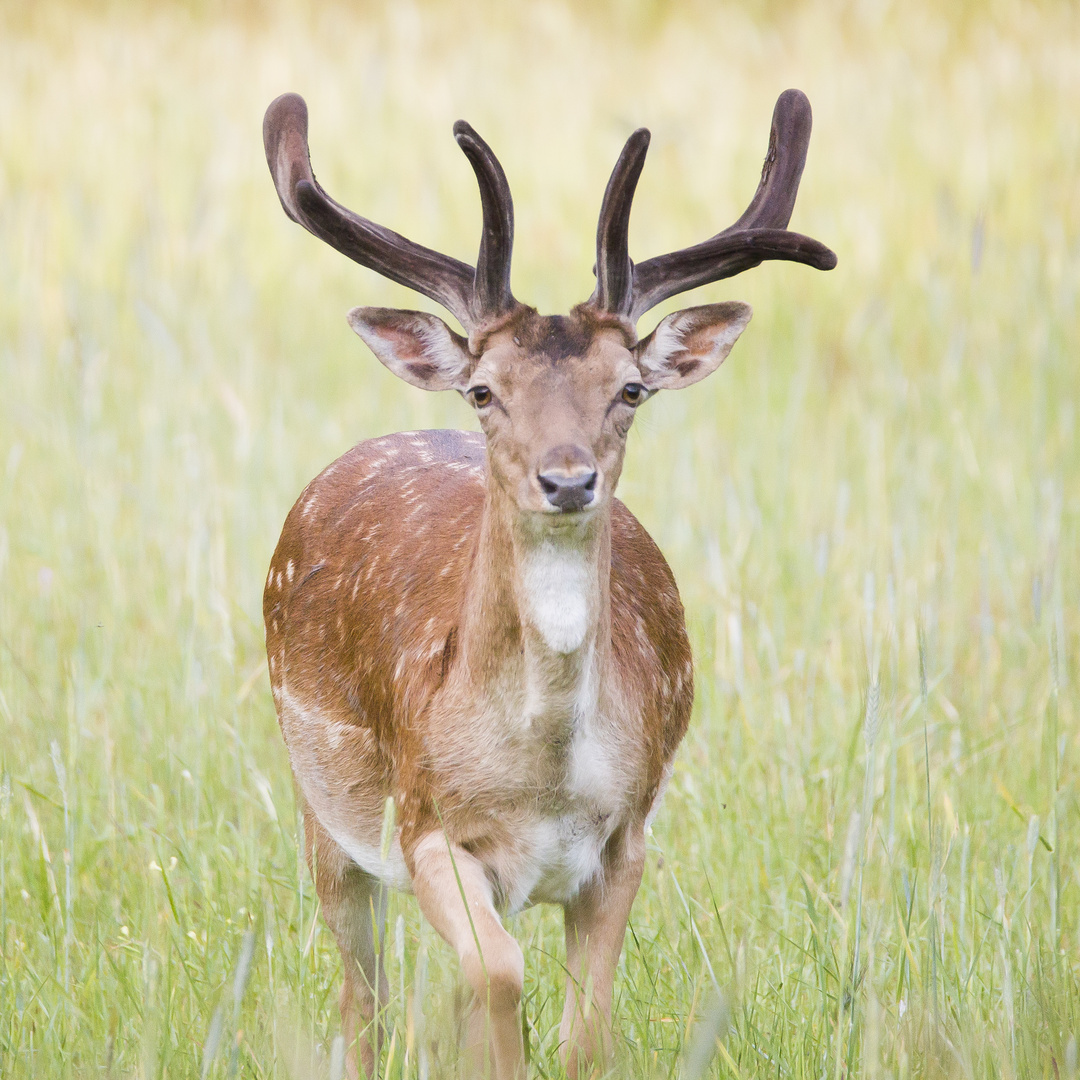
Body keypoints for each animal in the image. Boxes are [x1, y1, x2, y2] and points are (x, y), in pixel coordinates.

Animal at [261, 88, 833, 1075]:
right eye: (484, 390)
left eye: (631, 388)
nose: (568, 479)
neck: (542, 780)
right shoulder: (425, 824)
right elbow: (495, 977)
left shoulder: (625, 841)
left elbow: (581, 1034)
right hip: (321, 810)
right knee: (361, 1001)